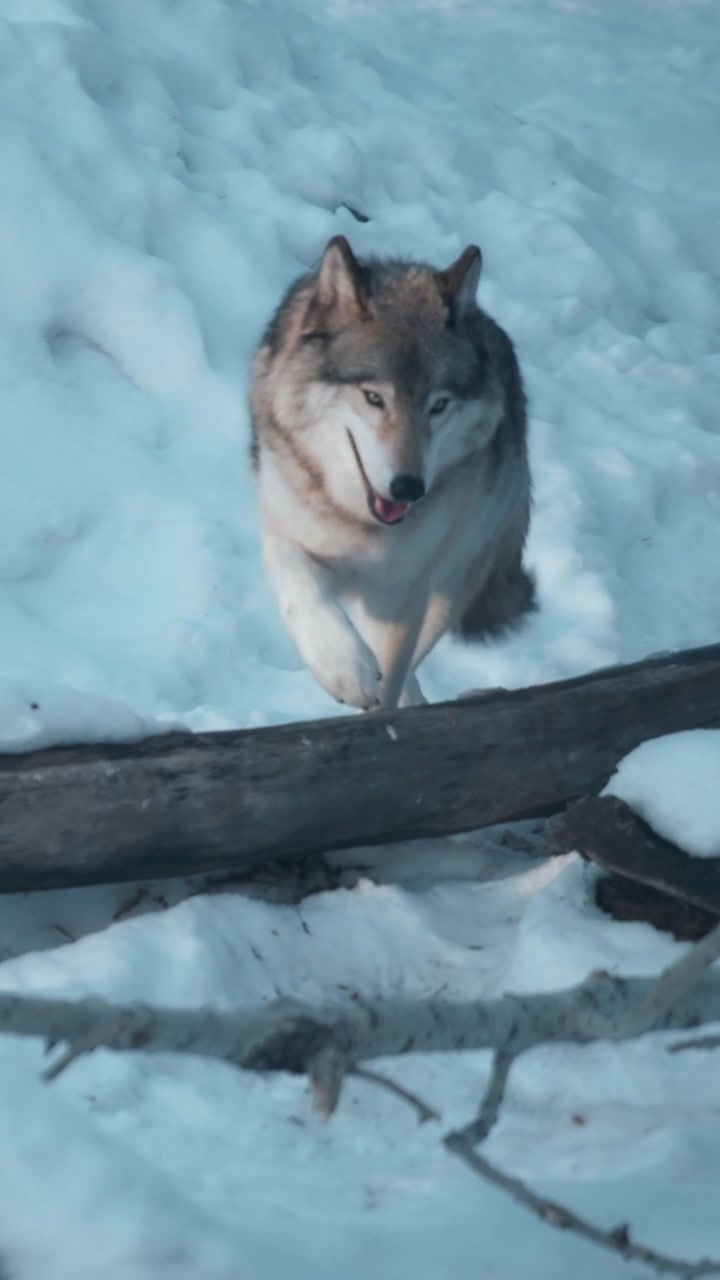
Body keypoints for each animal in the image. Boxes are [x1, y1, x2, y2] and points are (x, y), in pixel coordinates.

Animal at [250, 235, 534, 710]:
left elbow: (392, 678)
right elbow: (301, 590)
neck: (359, 523)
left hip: (450, 587)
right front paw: (345, 668)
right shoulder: (284, 534)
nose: (408, 488)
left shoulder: (401, 598)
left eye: (438, 405)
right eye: (373, 397)